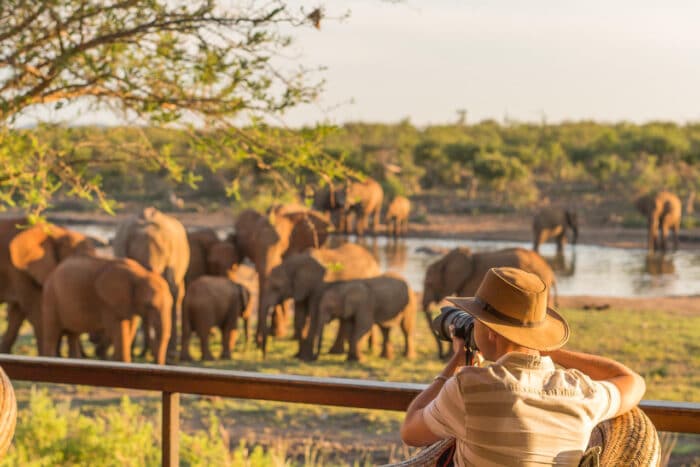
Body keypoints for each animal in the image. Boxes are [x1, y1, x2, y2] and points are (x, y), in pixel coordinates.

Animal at [40, 256, 172, 366]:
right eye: (149, 305)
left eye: (171, 305)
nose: (156, 363)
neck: (140, 274)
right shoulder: (109, 302)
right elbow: (118, 329)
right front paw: (123, 362)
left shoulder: (129, 303)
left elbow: (130, 327)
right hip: (51, 298)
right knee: (52, 334)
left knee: (73, 334)